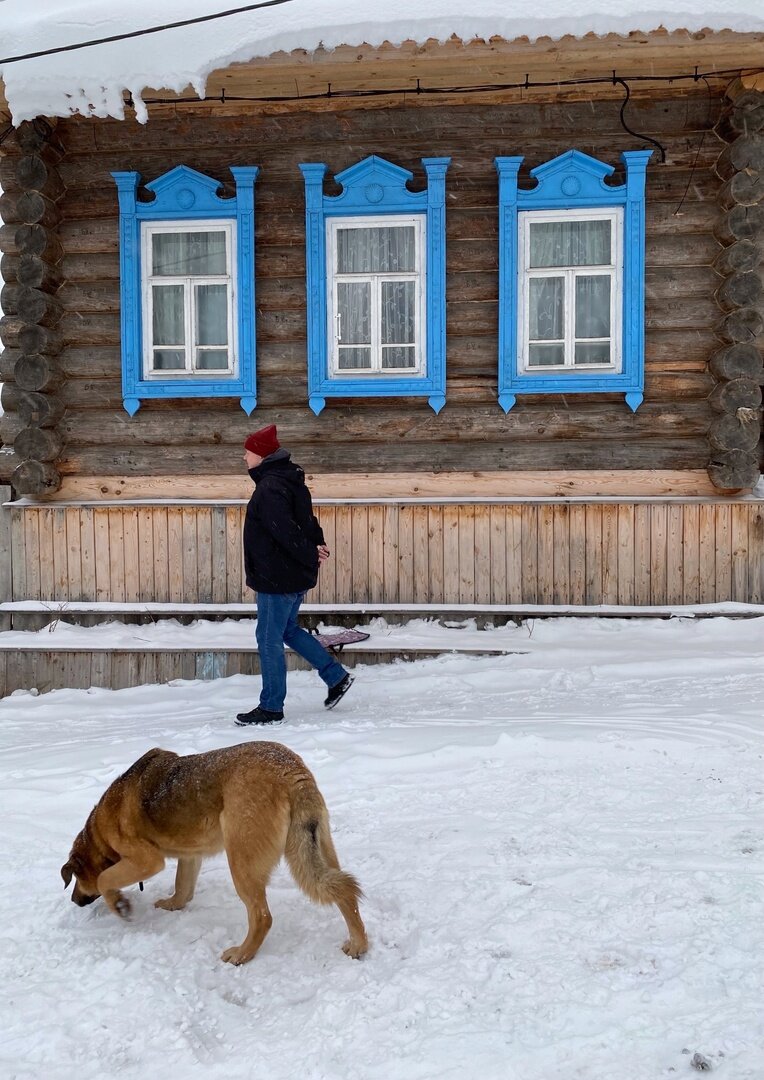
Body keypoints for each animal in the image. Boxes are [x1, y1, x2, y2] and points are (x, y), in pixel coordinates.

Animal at [61, 738, 369, 967]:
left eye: (76, 878)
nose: (74, 901)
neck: (98, 832)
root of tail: (291, 770)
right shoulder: (190, 856)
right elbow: (182, 888)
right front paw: (173, 905)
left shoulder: (147, 861)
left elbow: (105, 879)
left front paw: (119, 905)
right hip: (318, 848)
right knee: (345, 893)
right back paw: (359, 944)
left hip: (242, 861)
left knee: (262, 916)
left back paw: (242, 955)